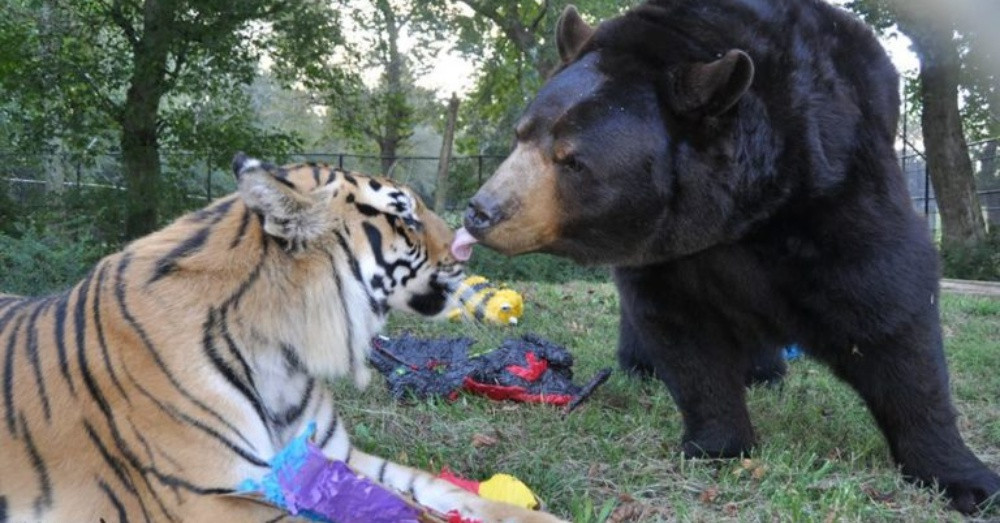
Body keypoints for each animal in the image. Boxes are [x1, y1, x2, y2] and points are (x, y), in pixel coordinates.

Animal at [0, 153, 563, 522]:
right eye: (403, 215)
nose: (469, 247)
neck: (286, 356)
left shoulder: (335, 457)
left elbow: (432, 487)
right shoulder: (207, 496)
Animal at [455, 0, 1000, 513]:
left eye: (572, 160)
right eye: (522, 134)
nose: (481, 210)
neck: (738, 211)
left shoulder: (834, 182)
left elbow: (889, 310)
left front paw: (963, 477)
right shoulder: (664, 250)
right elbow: (684, 333)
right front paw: (717, 444)